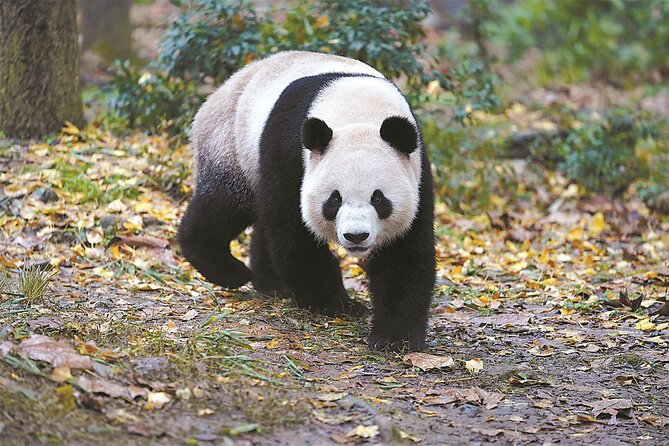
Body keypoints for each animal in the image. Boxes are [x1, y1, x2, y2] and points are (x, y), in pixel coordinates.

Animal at [178, 51, 435, 351]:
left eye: (379, 198)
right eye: (335, 199)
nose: (356, 236)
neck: (358, 112)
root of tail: (219, 91)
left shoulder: (416, 170)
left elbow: (404, 253)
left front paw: (395, 338)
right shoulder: (290, 151)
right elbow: (293, 230)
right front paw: (337, 304)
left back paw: (271, 282)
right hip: (231, 146)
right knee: (225, 205)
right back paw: (228, 269)